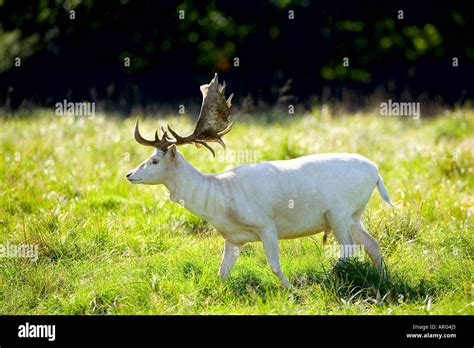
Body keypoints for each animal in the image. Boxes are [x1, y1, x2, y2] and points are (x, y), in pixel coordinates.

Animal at [127, 75, 392, 288]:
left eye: (154, 161)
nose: (129, 174)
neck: (220, 200)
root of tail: (376, 171)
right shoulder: (233, 238)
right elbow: (222, 271)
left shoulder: (266, 224)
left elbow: (274, 265)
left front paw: (293, 290)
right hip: (354, 215)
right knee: (372, 244)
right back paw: (382, 279)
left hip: (338, 211)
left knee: (349, 248)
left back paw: (327, 279)